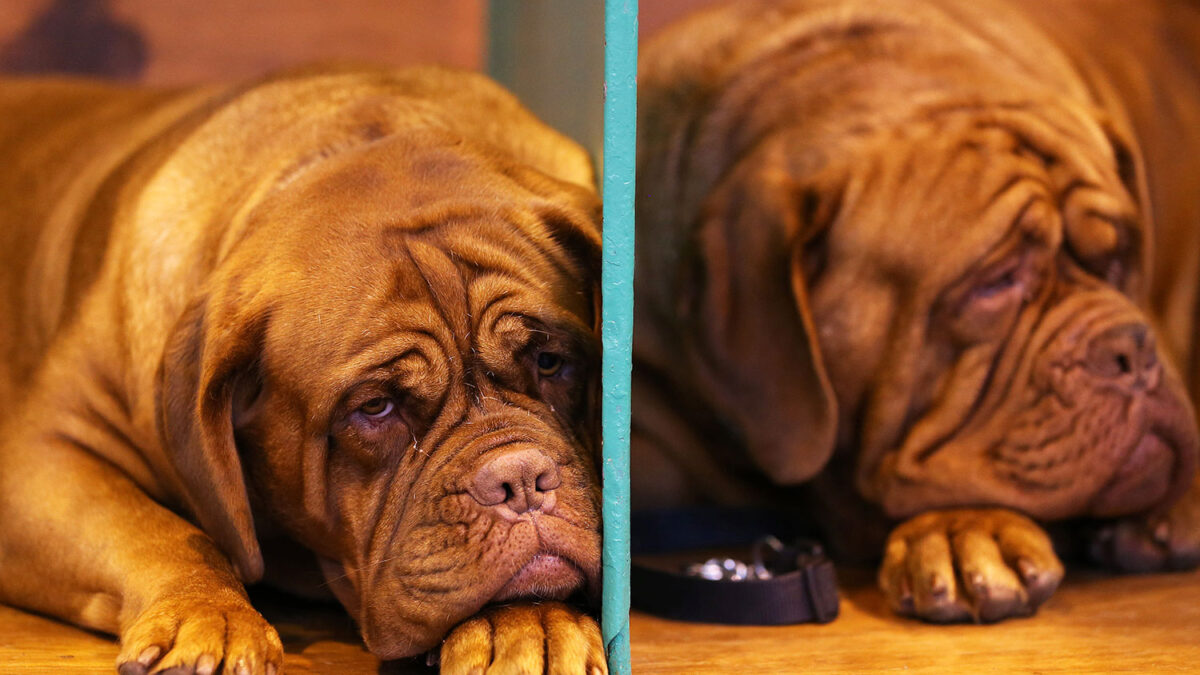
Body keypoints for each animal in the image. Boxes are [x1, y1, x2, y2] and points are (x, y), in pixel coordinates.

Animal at [0, 64, 604, 672]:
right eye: (376, 406)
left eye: (551, 361)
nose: (519, 479)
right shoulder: (37, 457)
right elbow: (158, 532)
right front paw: (209, 616)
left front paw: (529, 623)